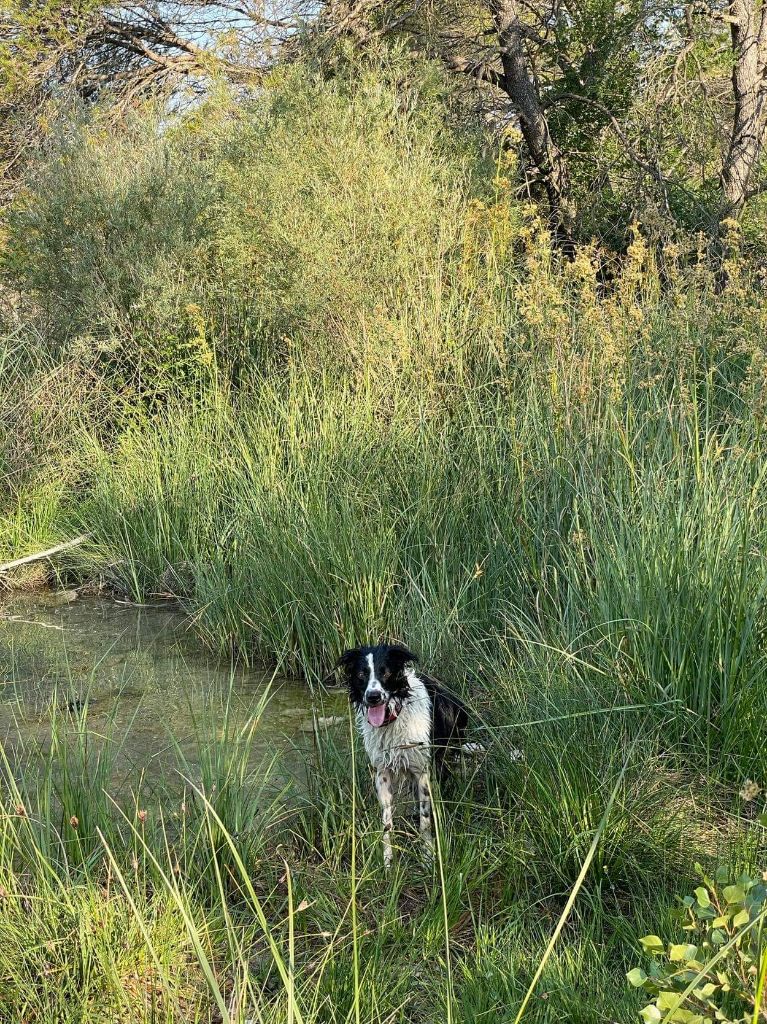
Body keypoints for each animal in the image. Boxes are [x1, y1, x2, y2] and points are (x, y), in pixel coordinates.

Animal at [335, 643, 473, 868]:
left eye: (386, 672)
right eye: (361, 674)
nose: (373, 696)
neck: (394, 717)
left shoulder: (422, 770)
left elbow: (425, 819)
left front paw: (427, 856)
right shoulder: (382, 772)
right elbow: (386, 822)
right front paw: (388, 861)